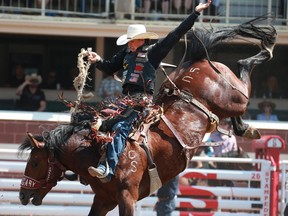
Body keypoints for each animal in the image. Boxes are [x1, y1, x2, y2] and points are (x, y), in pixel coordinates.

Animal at [18, 16, 276, 215]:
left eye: (35, 162)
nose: (22, 195)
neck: (96, 148)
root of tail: (196, 60)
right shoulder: (103, 200)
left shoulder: (127, 197)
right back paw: (248, 128)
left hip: (235, 98)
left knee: (243, 68)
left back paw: (266, 51)